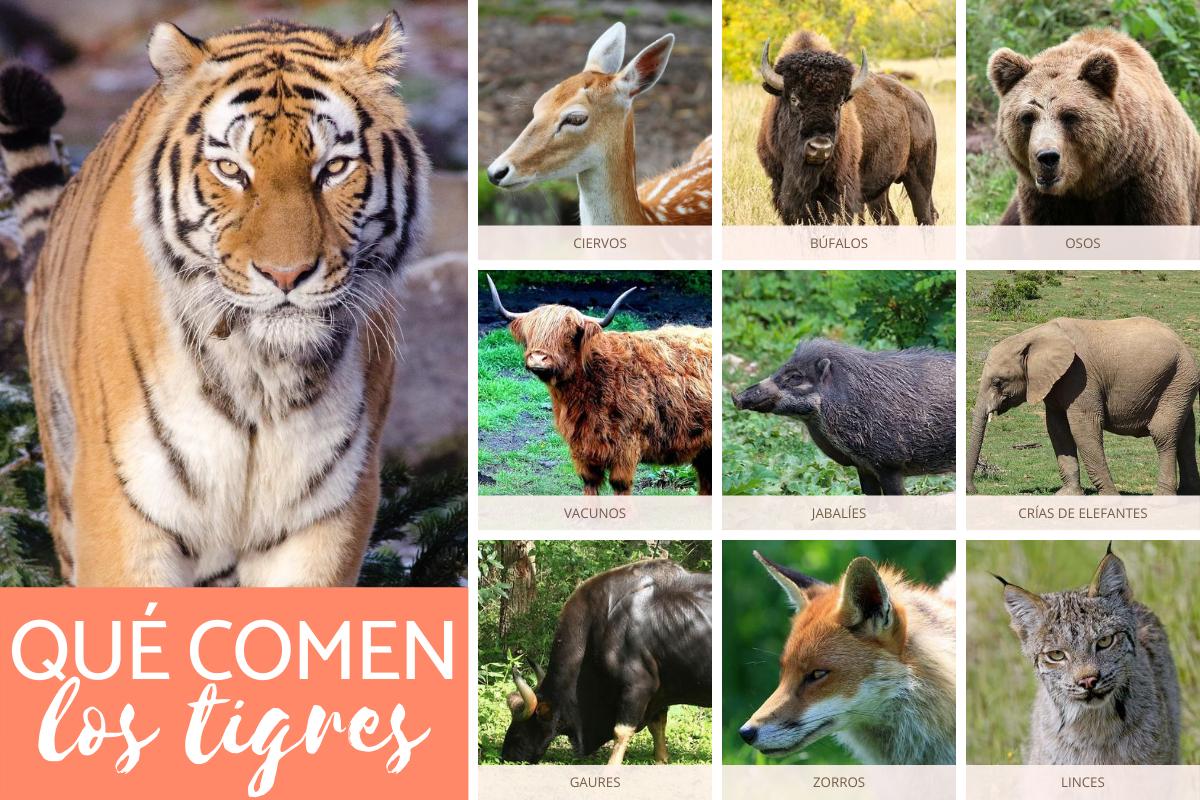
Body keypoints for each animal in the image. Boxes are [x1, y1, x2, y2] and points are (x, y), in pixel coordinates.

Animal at [0, 14, 429, 586]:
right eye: (231, 170)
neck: (260, 378)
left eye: (335, 168)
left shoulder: (325, 517)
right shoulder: (121, 509)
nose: (285, 274)